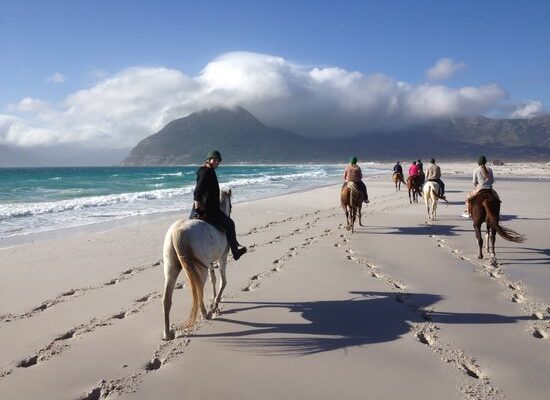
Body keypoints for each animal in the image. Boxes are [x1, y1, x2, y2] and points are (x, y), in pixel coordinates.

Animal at [163, 189, 234, 340]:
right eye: (230, 205)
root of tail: (178, 231)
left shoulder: (211, 262)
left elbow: (214, 280)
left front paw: (214, 300)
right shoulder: (222, 257)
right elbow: (223, 281)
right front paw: (215, 304)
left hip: (171, 269)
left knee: (167, 298)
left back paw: (167, 333)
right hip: (201, 270)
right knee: (198, 289)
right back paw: (206, 313)